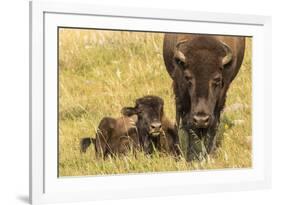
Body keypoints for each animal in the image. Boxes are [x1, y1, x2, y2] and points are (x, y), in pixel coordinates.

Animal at [163, 33, 244, 161]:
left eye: (217, 79)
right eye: (188, 78)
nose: (201, 119)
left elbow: (213, 125)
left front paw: (209, 154)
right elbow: (187, 123)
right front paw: (190, 156)